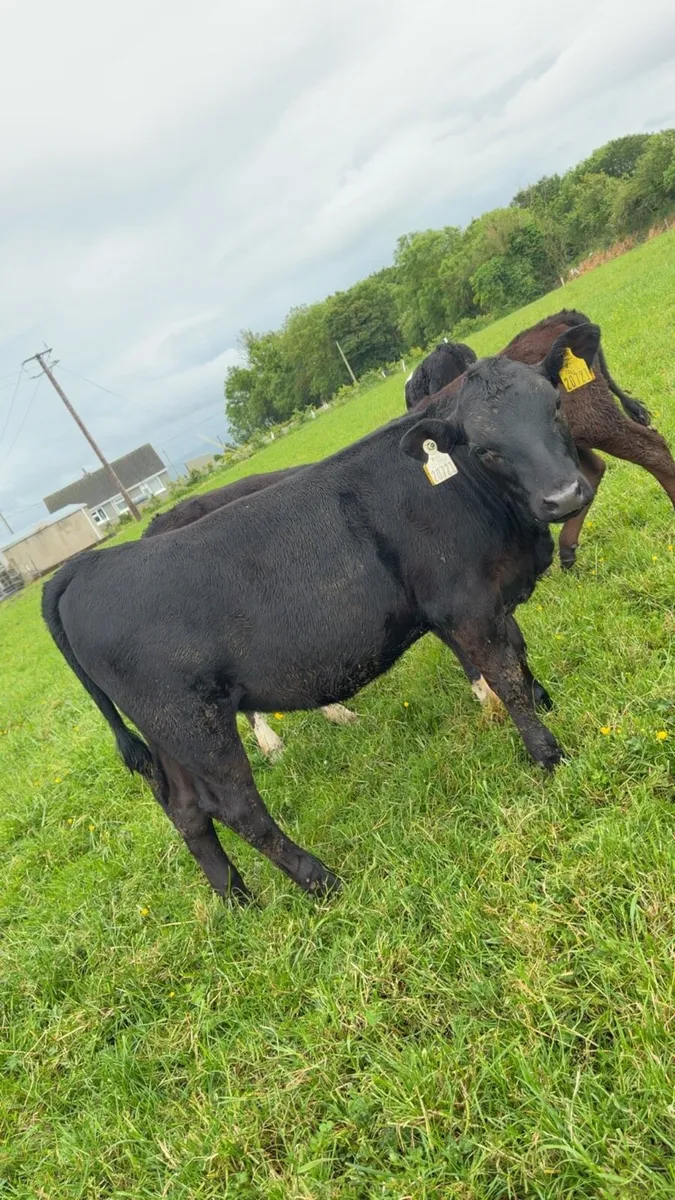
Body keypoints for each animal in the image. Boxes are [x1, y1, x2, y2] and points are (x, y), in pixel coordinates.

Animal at [42, 325, 597, 903]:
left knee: (186, 811)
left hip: (166, 732)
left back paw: (236, 898)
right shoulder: (463, 605)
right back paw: (320, 880)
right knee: (237, 807)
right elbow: (505, 677)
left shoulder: (491, 598)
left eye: (556, 406)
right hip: (194, 722)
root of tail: (89, 564)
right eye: (486, 450)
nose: (563, 496)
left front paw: (548, 701)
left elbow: (519, 653)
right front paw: (549, 755)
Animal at [408, 309, 675, 568]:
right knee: (595, 468)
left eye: (555, 404)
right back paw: (567, 549)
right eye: (481, 450)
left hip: (596, 421)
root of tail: (555, 320)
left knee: (652, 449)